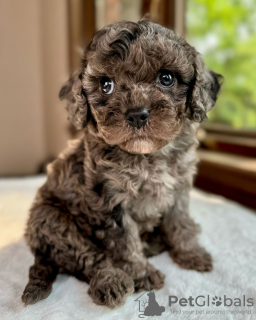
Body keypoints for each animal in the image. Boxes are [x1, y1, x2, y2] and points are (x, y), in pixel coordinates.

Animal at [21, 16, 222, 308]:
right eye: (106, 85)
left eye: (166, 78)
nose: (137, 114)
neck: (147, 155)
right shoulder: (110, 200)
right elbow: (125, 242)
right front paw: (142, 274)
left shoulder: (179, 187)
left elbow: (180, 221)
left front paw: (190, 252)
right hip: (49, 218)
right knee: (87, 258)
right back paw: (111, 282)